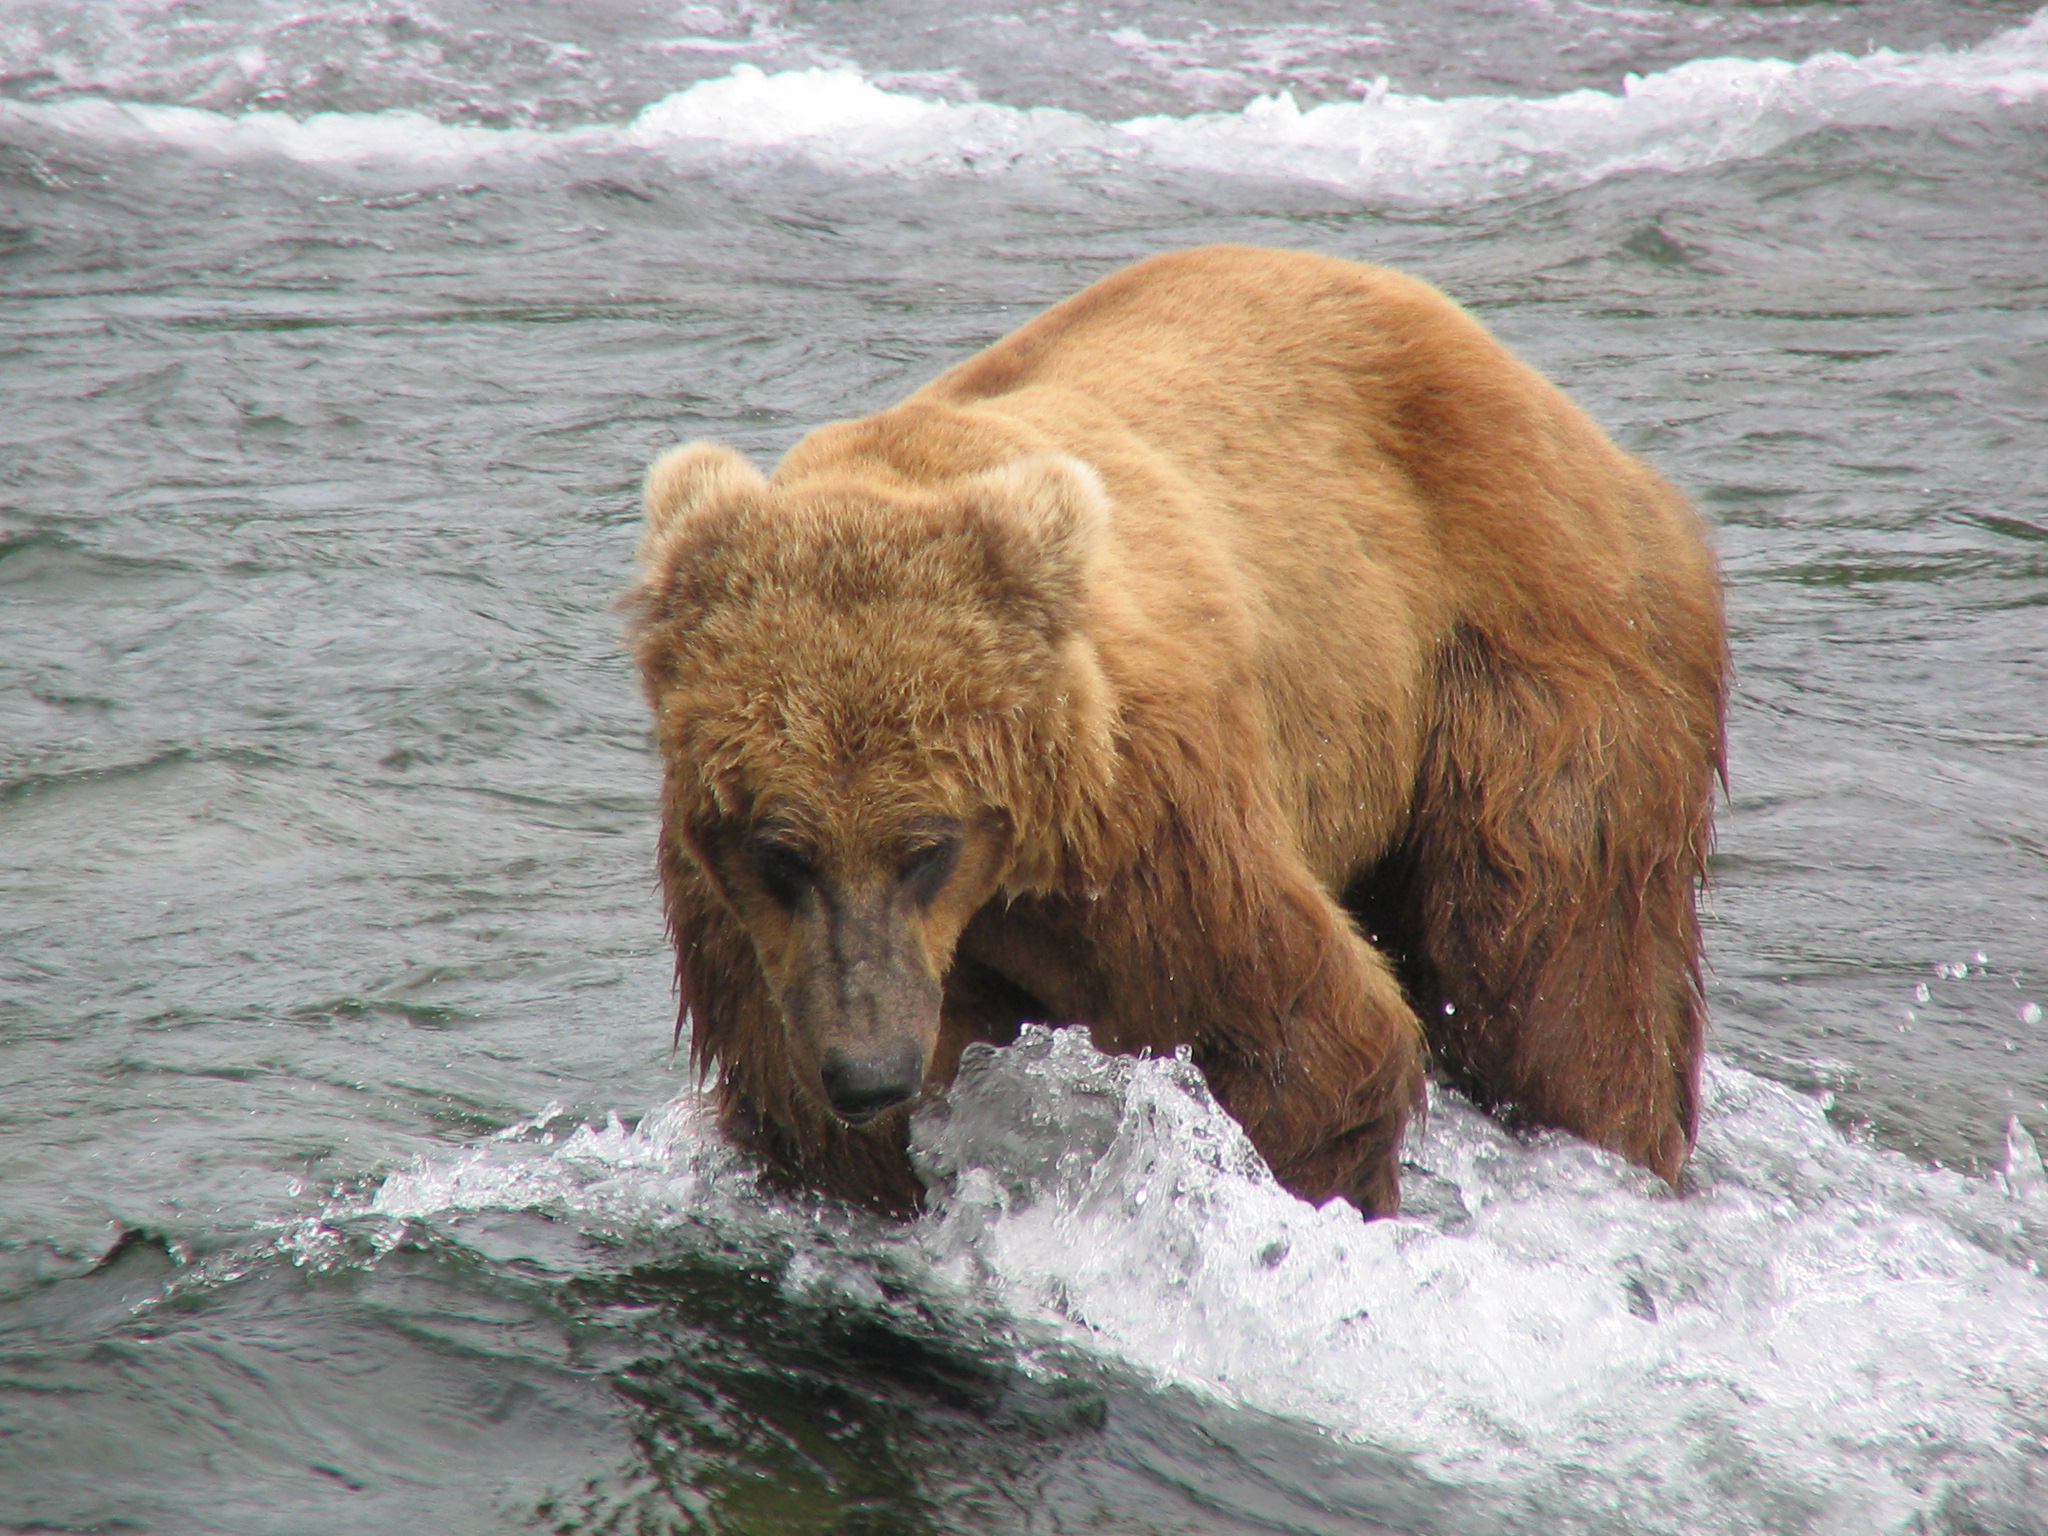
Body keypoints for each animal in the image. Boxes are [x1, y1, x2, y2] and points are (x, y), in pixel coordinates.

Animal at [626, 244, 1727, 1219]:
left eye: (924, 846)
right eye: (780, 851)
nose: (869, 1067)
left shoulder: (1146, 828)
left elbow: (1298, 1034)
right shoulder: (743, 926)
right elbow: (810, 1124)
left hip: (1530, 644)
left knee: (1556, 959)